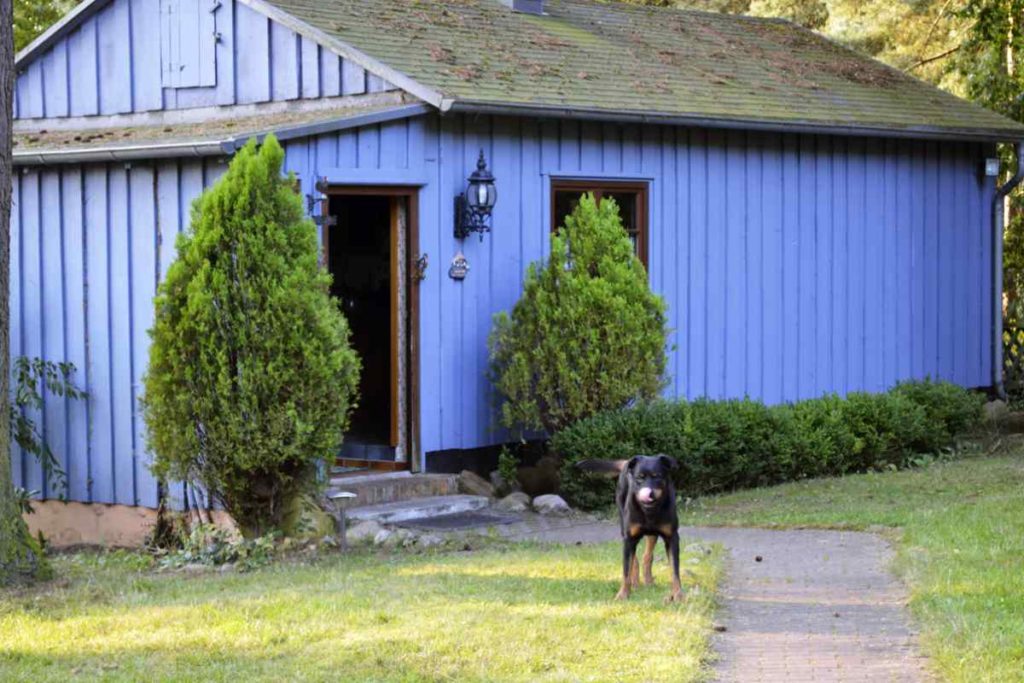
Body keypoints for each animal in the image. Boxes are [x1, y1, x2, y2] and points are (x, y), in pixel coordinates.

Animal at [573, 456, 684, 602]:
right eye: (639, 478)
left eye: (658, 476)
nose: (649, 493)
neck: (649, 511)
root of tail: (627, 462)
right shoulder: (629, 539)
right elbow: (626, 569)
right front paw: (623, 594)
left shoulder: (672, 537)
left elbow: (675, 570)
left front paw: (678, 594)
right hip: (623, 523)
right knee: (634, 561)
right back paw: (635, 583)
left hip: (652, 534)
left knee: (647, 556)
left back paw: (648, 581)